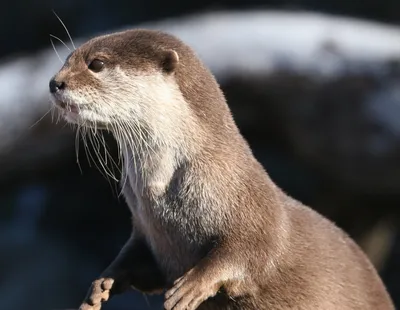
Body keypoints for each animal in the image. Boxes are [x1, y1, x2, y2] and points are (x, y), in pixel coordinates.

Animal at [47, 29, 394, 310]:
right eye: (67, 59)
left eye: (96, 64)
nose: (54, 83)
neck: (161, 192)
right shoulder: (145, 230)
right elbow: (138, 260)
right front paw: (102, 284)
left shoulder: (255, 210)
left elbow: (251, 250)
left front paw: (190, 286)